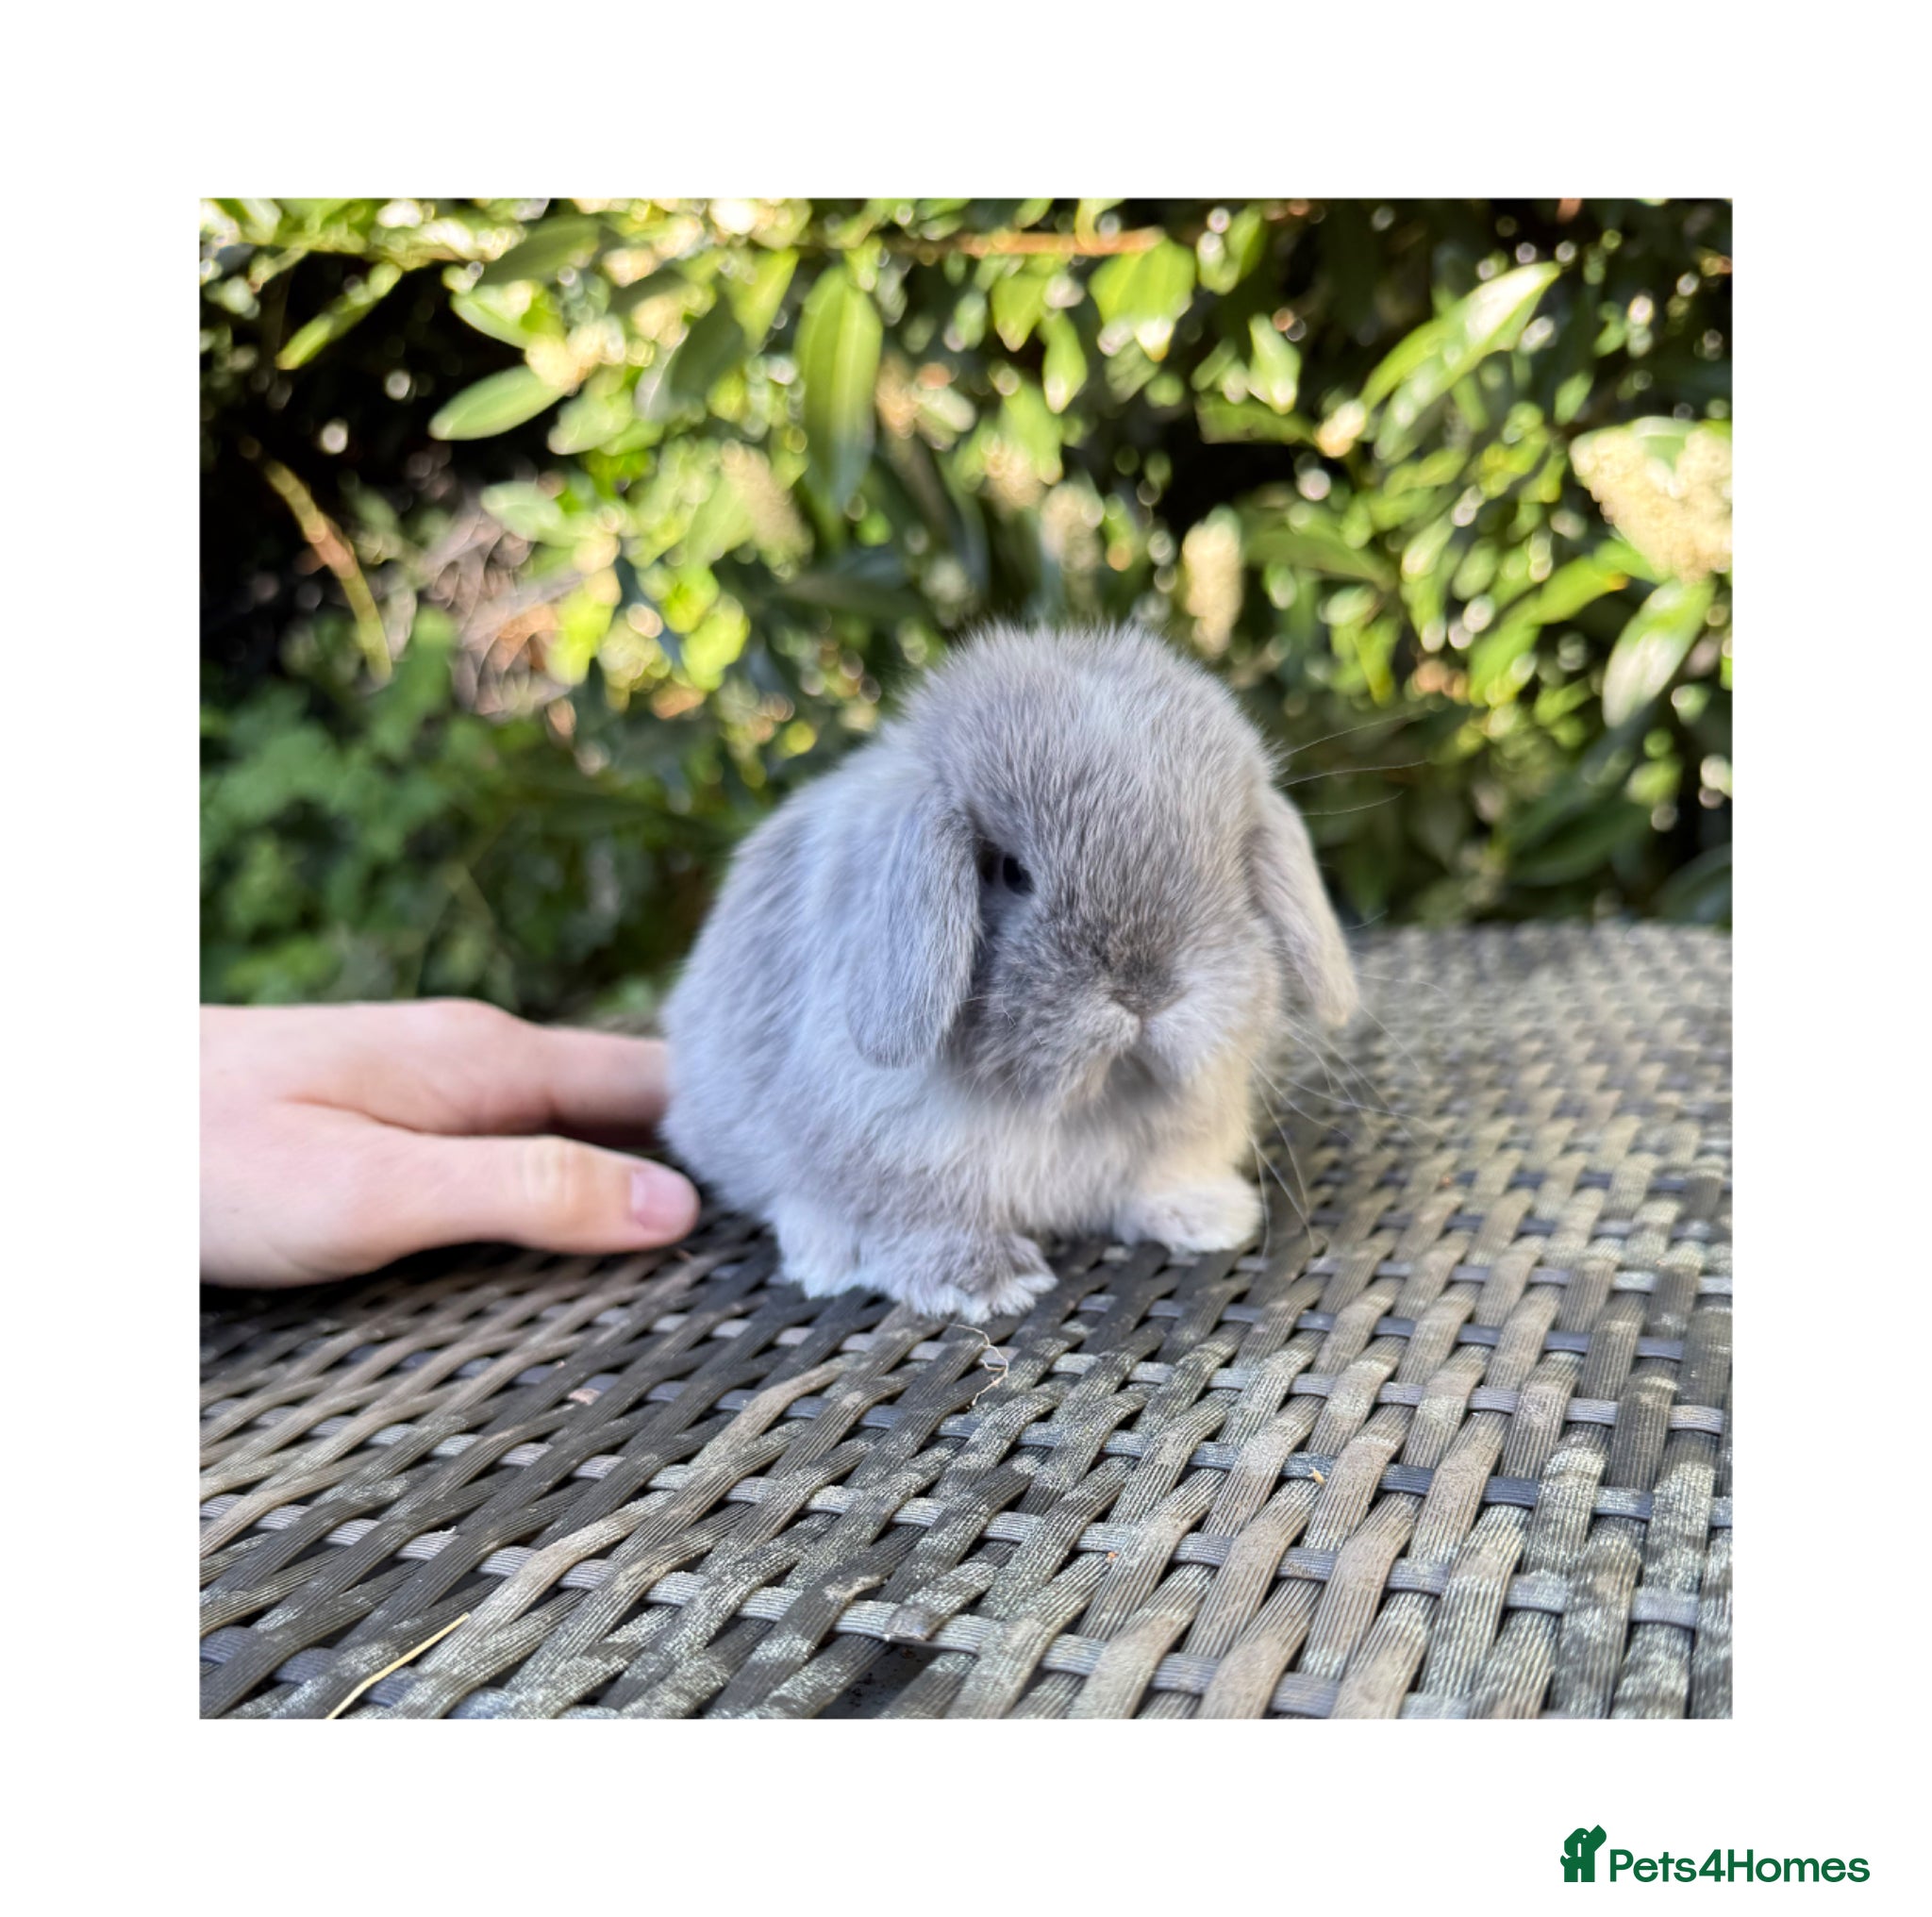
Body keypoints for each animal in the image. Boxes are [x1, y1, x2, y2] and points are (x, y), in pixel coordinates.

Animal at [661, 624, 1358, 1324]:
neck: (1082, 1103)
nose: (1147, 992)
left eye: (1234, 865)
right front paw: (984, 1282)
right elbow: (917, 1217)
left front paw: (1210, 1216)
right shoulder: (891, 1153)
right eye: (1011, 872)